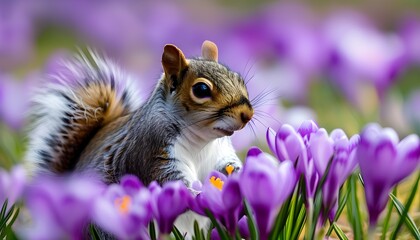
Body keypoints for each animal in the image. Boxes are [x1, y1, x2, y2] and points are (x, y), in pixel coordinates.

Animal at [27, 40, 256, 188]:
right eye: (201, 90)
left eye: (239, 79)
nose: (246, 114)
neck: (202, 142)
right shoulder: (150, 153)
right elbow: (171, 181)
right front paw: (198, 193)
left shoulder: (221, 154)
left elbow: (227, 166)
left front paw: (244, 174)